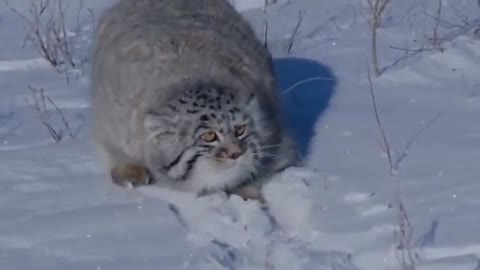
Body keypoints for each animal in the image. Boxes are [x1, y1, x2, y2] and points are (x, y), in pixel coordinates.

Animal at [89, 0, 298, 202]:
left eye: (240, 130)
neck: (193, 78)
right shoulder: (115, 129)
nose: (237, 153)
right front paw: (130, 173)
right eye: (209, 136)